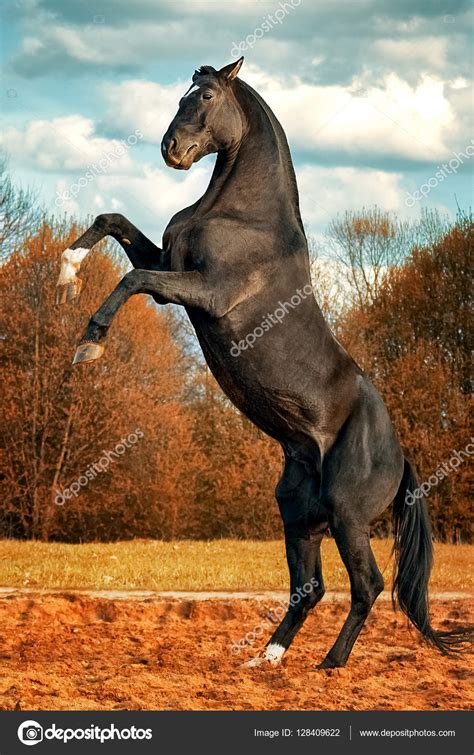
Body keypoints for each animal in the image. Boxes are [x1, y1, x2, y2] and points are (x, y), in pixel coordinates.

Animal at [56, 58, 468, 668]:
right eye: (182, 94)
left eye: (204, 95)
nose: (171, 149)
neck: (243, 216)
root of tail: (401, 459)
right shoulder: (170, 264)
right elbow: (115, 222)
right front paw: (67, 266)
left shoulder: (201, 290)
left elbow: (133, 277)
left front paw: (91, 343)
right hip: (298, 515)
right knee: (310, 588)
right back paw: (266, 659)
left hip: (346, 517)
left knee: (365, 585)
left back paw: (330, 664)